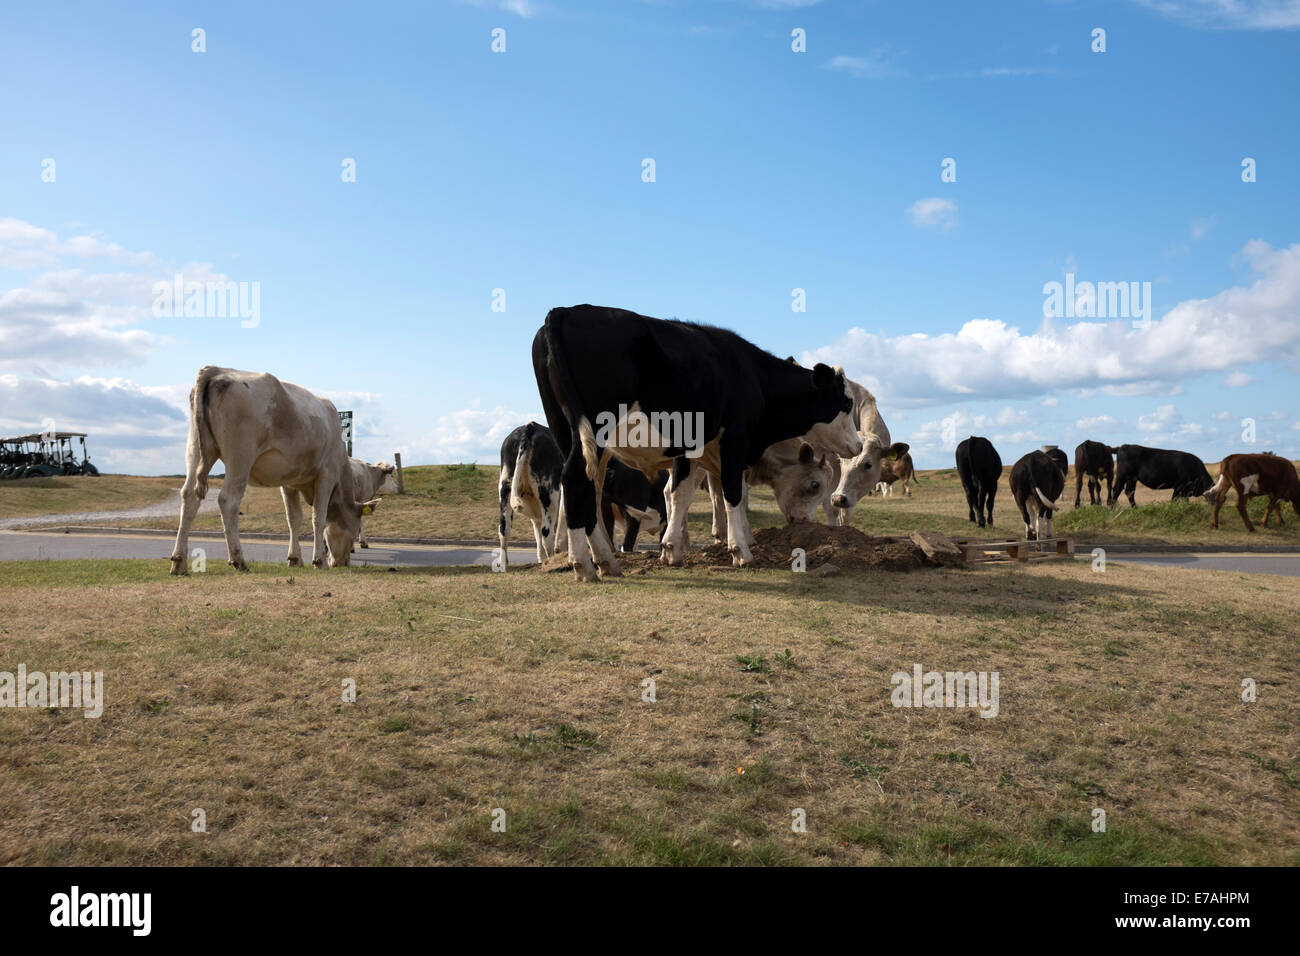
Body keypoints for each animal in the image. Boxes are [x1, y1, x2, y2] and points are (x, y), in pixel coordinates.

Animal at [170, 366, 379, 574]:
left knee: (189, 496)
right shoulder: (326, 475)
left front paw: (295, 559)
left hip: (196, 448)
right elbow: (318, 517)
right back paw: (239, 560)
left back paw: (179, 561)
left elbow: (293, 518)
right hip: (240, 456)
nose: (342, 563)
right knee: (228, 500)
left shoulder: (289, 481)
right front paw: (319, 560)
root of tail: (217, 370)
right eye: (354, 531)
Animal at [496, 421, 564, 567]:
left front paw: (541, 559)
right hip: (548, 494)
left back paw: (503, 563)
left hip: (505, 488)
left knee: (504, 529)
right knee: (547, 533)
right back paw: (552, 562)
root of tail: (530, 426)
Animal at [527, 304, 863, 582]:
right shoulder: (735, 439)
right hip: (594, 430)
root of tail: (566, 310)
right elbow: (731, 493)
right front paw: (741, 551)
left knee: (591, 490)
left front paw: (671, 550)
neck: (752, 374)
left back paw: (606, 560)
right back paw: (583, 564)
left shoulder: (691, 450)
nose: (859, 446)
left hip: (569, 432)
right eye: (846, 403)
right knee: (575, 482)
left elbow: (680, 494)